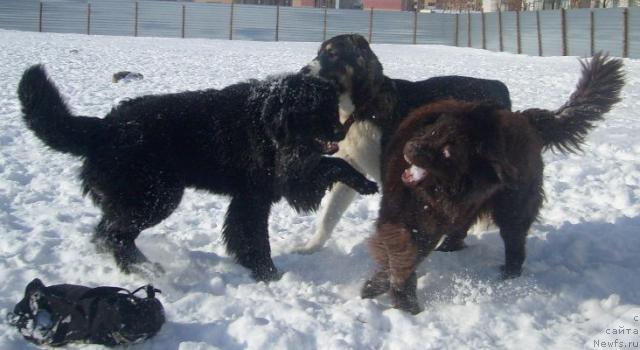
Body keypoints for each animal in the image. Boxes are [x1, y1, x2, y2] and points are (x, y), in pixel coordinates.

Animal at [17, 64, 378, 280]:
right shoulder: (275, 185)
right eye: (316, 111)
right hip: (155, 196)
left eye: (332, 107)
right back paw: (144, 269)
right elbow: (256, 235)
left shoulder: (261, 191)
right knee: (115, 234)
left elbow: (246, 232)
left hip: (140, 197)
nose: (340, 131)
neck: (268, 122)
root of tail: (104, 128)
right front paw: (267, 273)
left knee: (106, 231)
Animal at [298, 34, 512, 253]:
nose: (302, 72)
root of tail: (498, 86)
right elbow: (329, 216)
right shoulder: (351, 168)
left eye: (333, 54)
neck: (361, 110)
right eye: (318, 54)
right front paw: (310, 247)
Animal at [362, 53, 624, 316]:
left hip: (515, 203)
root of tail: (524, 117)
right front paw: (381, 289)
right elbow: (400, 250)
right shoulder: (404, 217)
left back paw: (509, 276)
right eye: (432, 131)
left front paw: (401, 300)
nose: (411, 147)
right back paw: (450, 248)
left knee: (513, 238)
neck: (440, 192)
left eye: (448, 151)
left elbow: (403, 256)